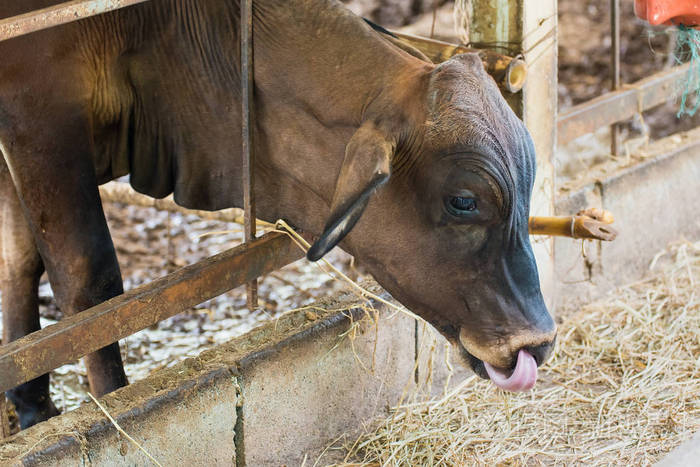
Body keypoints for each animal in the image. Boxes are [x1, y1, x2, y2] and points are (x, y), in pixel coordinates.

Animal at [1, 0, 556, 432]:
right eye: (464, 201)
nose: (539, 342)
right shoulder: (40, 112)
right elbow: (88, 284)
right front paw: (106, 402)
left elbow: (19, 259)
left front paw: (31, 406)